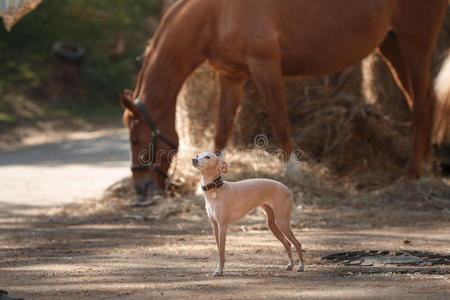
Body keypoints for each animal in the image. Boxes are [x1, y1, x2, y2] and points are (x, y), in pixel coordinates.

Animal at [120, 0, 450, 198]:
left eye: (135, 139)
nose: (141, 189)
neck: (215, 14)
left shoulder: (266, 68)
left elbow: (280, 121)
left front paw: (293, 170)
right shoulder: (231, 77)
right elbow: (222, 128)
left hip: (415, 42)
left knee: (422, 107)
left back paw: (412, 174)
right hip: (392, 45)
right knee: (425, 102)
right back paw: (427, 167)